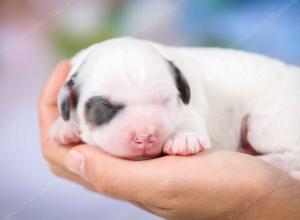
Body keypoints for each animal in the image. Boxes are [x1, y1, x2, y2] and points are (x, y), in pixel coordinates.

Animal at [49, 37, 300, 178]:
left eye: (164, 100)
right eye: (108, 107)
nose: (145, 137)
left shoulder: (190, 107)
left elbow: (189, 121)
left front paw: (183, 139)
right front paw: (64, 127)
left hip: (268, 124)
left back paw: (272, 161)